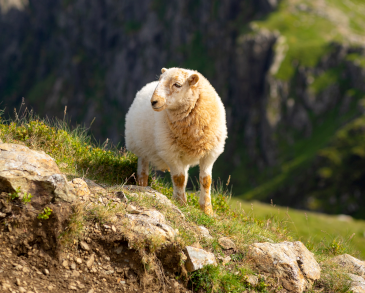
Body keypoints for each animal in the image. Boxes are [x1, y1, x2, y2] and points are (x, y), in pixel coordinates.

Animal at [126, 68, 228, 214]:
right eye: (160, 80)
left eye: (178, 85)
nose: (154, 101)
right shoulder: (170, 152)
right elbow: (179, 179)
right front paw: (181, 204)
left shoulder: (210, 153)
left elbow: (206, 180)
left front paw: (207, 210)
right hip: (140, 147)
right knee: (143, 168)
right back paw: (142, 186)